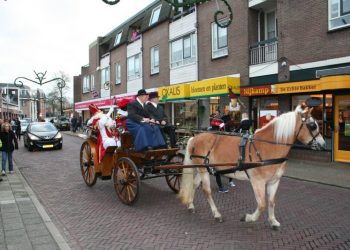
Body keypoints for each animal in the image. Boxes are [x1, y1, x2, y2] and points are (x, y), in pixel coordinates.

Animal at [179, 104, 326, 229]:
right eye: (312, 125)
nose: (323, 144)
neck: (267, 146)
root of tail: (195, 138)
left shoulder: (274, 181)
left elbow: (271, 202)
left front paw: (273, 221)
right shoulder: (258, 181)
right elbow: (261, 205)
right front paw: (248, 218)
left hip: (204, 169)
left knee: (194, 184)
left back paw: (191, 205)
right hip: (204, 170)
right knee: (206, 191)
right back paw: (217, 214)